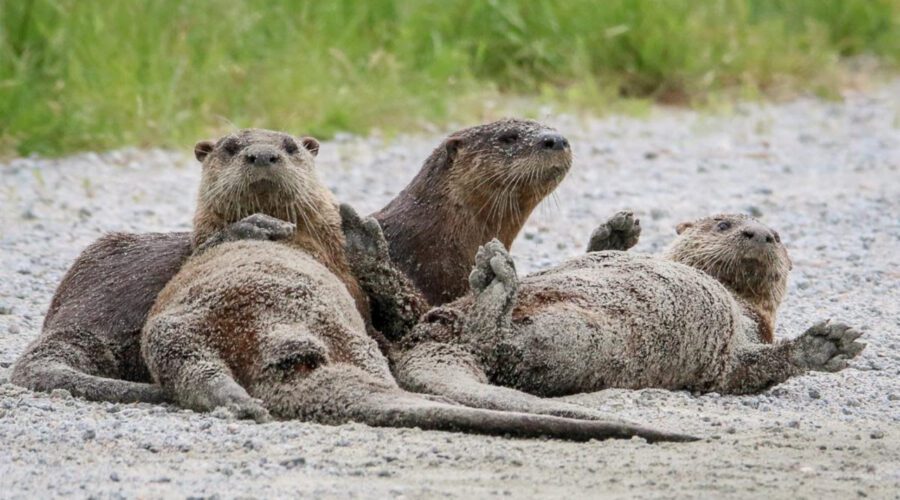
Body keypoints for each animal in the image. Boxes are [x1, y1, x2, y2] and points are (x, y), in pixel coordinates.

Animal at [388, 213, 864, 416]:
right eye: (724, 224)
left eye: (778, 236)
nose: (760, 232)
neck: (737, 299)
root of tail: (435, 339)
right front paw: (615, 232)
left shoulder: (737, 350)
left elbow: (749, 371)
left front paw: (825, 345)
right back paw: (493, 273)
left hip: (575, 339)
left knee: (499, 343)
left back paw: (496, 277)